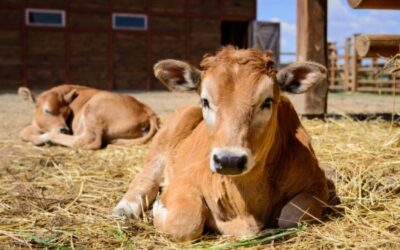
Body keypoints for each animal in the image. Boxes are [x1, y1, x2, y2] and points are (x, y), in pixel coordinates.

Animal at [18, 85, 159, 149]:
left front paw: (39, 139)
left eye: (67, 113)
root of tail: (143, 106)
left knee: (88, 141)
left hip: (94, 108)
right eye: (48, 111)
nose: (64, 130)